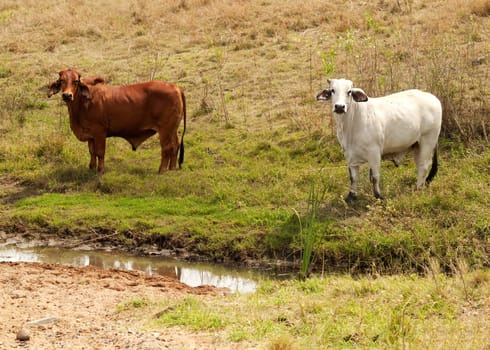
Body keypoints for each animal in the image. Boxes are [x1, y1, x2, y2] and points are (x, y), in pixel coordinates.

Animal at [47, 68, 186, 174]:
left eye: (76, 81)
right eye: (62, 80)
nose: (67, 95)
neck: (83, 103)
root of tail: (175, 87)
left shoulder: (99, 132)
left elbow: (100, 152)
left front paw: (100, 170)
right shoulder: (90, 135)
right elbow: (92, 152)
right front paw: (91, 168)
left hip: (165, 129)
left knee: (166, 148)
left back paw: (162, 170)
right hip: (172, 129)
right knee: (175, 146)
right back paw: (172, 168)